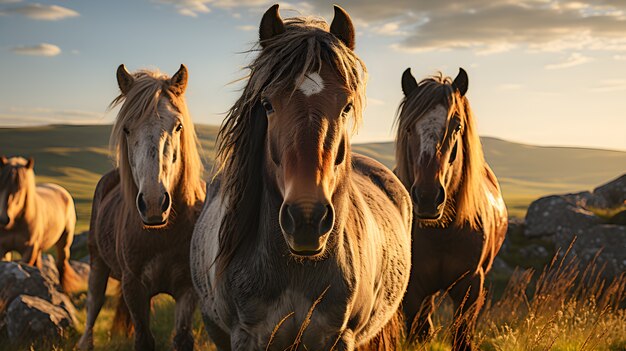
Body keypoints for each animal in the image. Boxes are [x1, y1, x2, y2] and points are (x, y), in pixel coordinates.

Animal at [0, 157, 80, 292]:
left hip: (63, 244)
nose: (4, 219)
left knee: (61, 265)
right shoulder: (3, 249)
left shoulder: (29, 249)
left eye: (20, 189)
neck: (16, 224)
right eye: (1, 187)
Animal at [77, 64, 206, 351]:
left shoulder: (188, 289)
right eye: (126, 129)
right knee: (93, 305)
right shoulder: (134, 287)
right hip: (97, 263)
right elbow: (144, 338)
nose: (154, 203)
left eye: (178, 126)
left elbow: (183, 337)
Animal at [190, 4, 412, 351]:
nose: (307, 219)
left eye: (347, 106)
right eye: (267, 104)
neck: (295, 271)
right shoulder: (246, 336)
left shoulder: (338, 337)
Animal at [394, 67, 508, 350]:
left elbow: (462, 337)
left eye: (456, 126)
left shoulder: (470, 287)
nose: (427, 197)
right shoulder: (414, 290)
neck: (441, 233)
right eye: (409, 127)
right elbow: (417, 332)